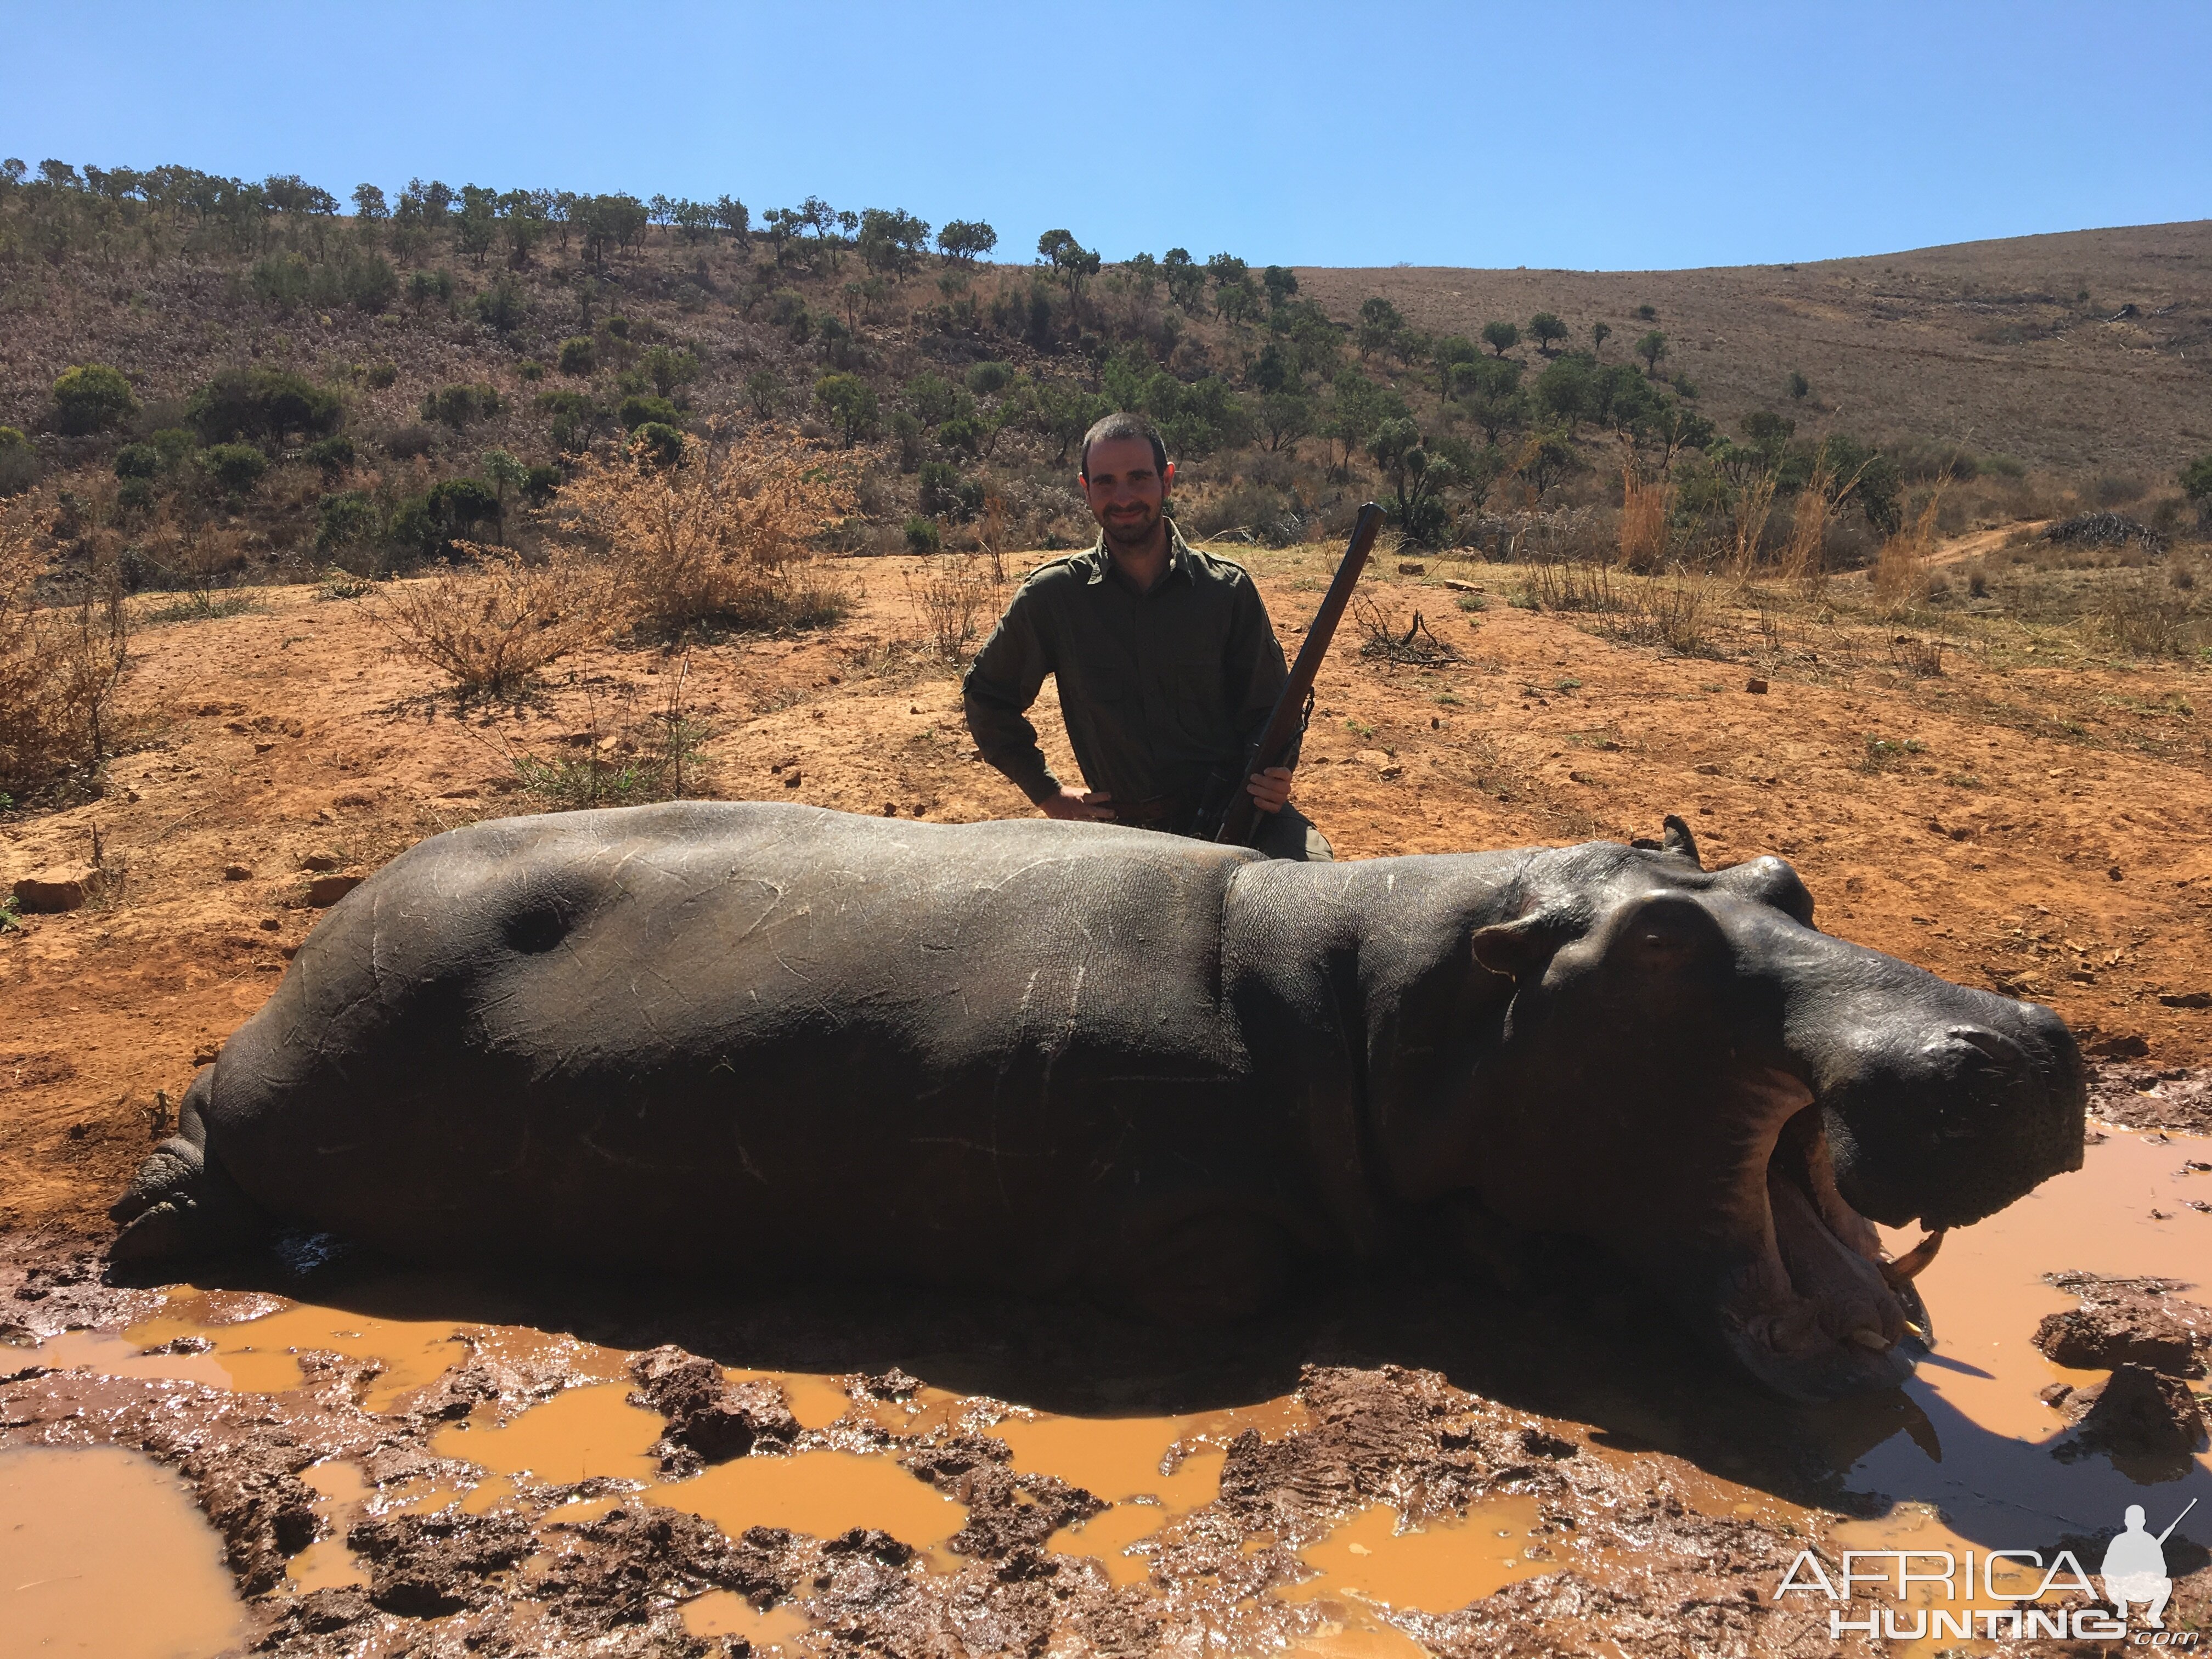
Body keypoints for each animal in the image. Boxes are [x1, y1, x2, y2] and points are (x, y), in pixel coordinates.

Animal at [116, 805, 2088, 1407]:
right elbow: (1243, 1266)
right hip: (289, 1067)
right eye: (1670, 939)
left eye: (1787, 876)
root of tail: (329, 912)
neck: (1386, 994)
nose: (2026, 1038)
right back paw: (156, 1231)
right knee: (200, 1142)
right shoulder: (1182, 1222)